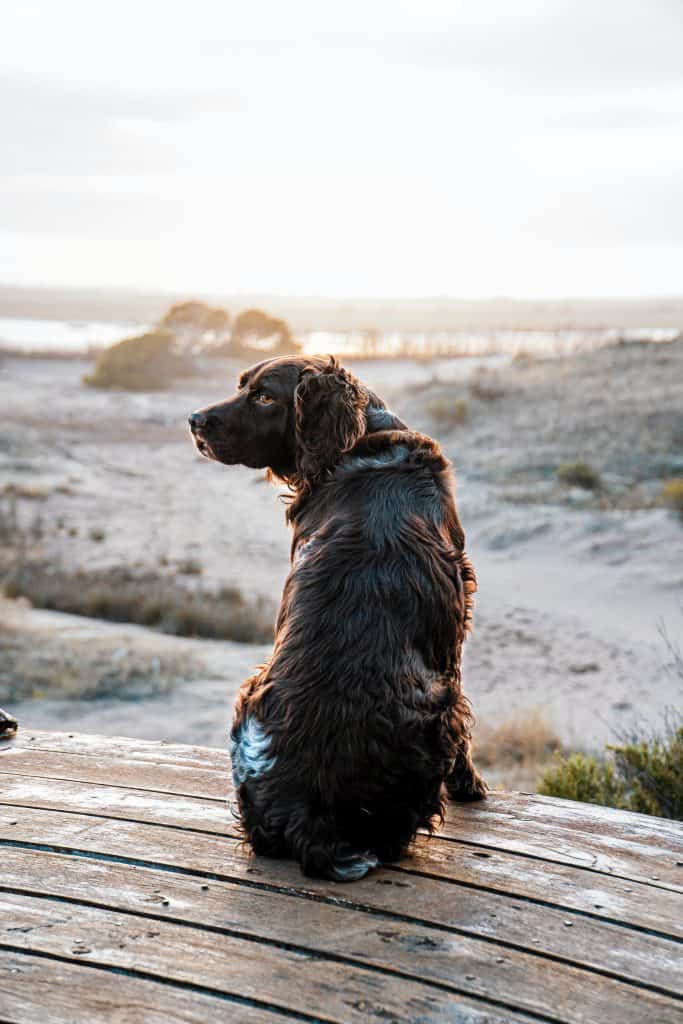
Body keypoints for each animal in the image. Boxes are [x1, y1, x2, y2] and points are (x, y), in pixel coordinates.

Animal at [189, 354, 483, 880]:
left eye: (264, 396)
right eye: (243, 386)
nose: (195, 421)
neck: (365, 442)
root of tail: (306, 812)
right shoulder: (455, 626)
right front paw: (472, 787)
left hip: (250, 694)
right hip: (439, 706)